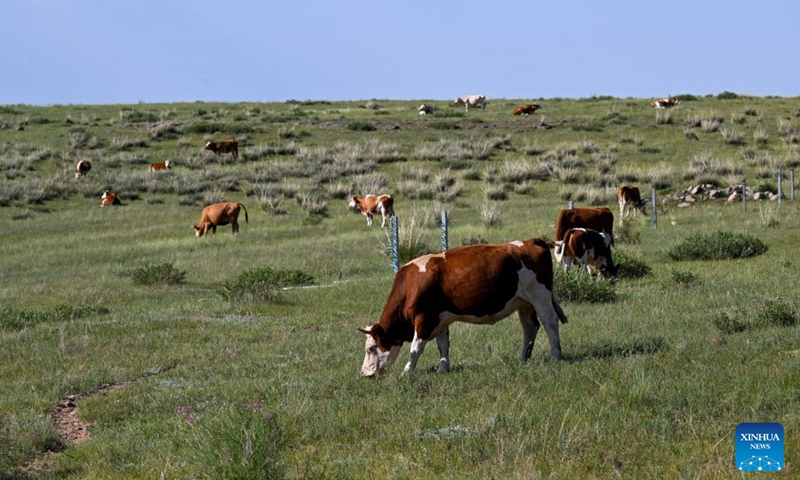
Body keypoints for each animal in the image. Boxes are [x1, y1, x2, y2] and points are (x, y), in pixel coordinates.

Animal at [359, 239, 568, 377]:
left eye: (370, 349)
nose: (363, 373)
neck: (412, 284)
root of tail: (531, 241)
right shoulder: (440, 320)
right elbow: (443, 345)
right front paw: (442, 369)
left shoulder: (424, 319)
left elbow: (415, 349)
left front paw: (407, 371)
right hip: (524, 303)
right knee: (530, 328)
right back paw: (523, 358)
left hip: (540, 296)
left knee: (550, 323)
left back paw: (555, 355)